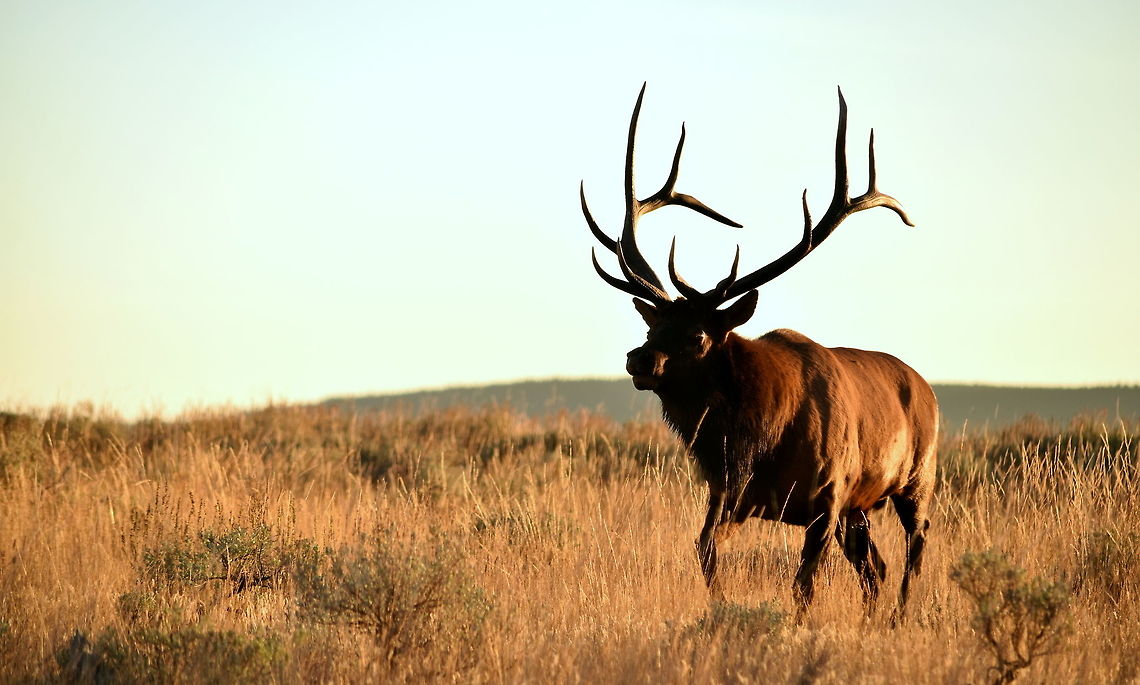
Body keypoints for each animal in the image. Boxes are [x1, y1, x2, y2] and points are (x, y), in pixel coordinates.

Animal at [579, 84, 938, 618]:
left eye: (698, 336)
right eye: (652, 326)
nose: (638, 360)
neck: (758, 437)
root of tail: (927, 388)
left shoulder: (828, 497)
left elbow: (803, 584)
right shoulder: (730, 491)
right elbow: (705, 549)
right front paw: (720, 608)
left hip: (915, 479)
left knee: (915, 547)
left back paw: (899, 618)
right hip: (861, 507)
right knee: (876, 567)